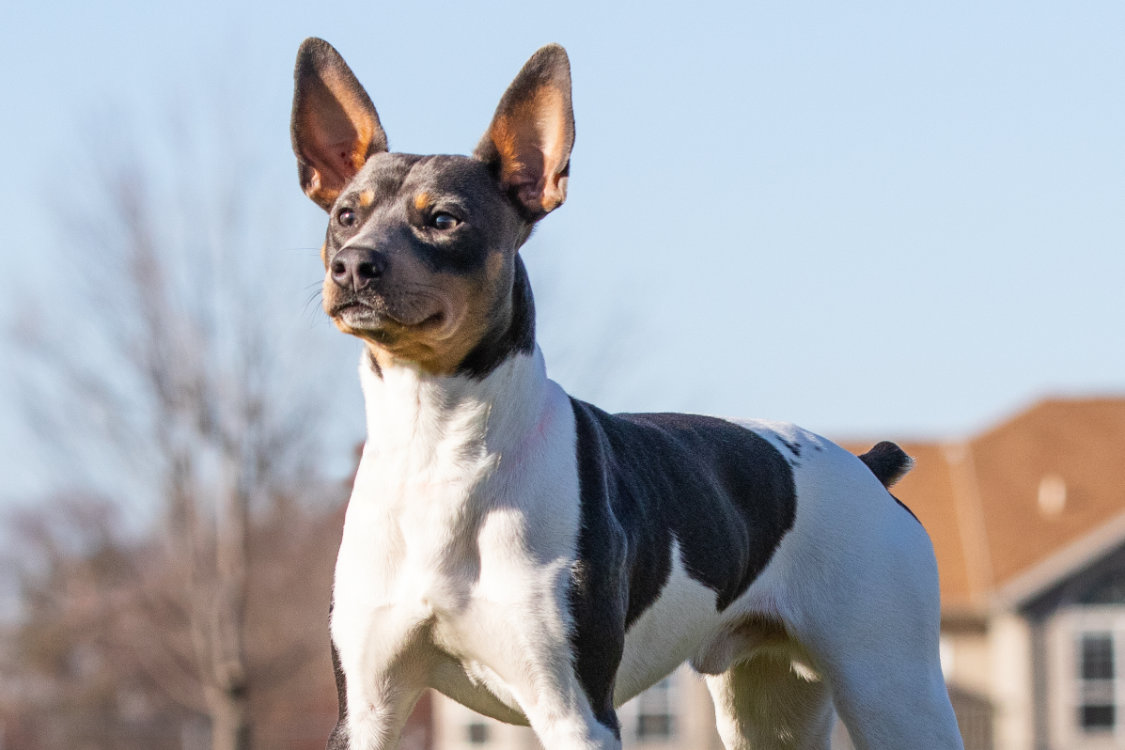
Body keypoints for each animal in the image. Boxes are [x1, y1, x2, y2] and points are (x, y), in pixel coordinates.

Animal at [292, 39, 967, 750]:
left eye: (444, 220)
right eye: (346, 215)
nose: (352, 265)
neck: (440, 450)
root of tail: (868, 468)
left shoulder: (577, 711)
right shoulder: (368, 709)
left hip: (894, 691)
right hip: (769, 705)